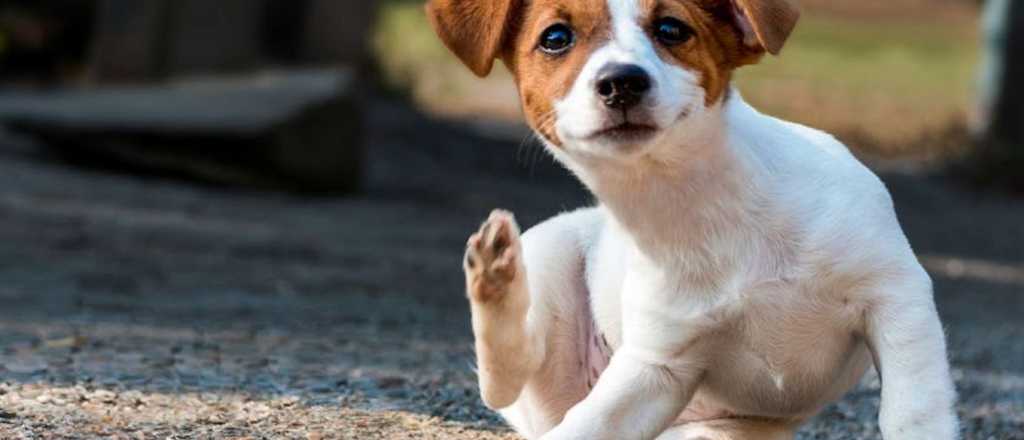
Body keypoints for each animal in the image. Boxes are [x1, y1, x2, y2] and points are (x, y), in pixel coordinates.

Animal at [423, 1, 958, 437]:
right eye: (556, 37)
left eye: (671, 28)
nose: (622, 82)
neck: (701, 205)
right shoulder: (658, 368)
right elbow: (584, 428)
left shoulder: (895, 296)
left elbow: (913, 411)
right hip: (551, 260)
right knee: (507, 380)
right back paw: (496, 277)